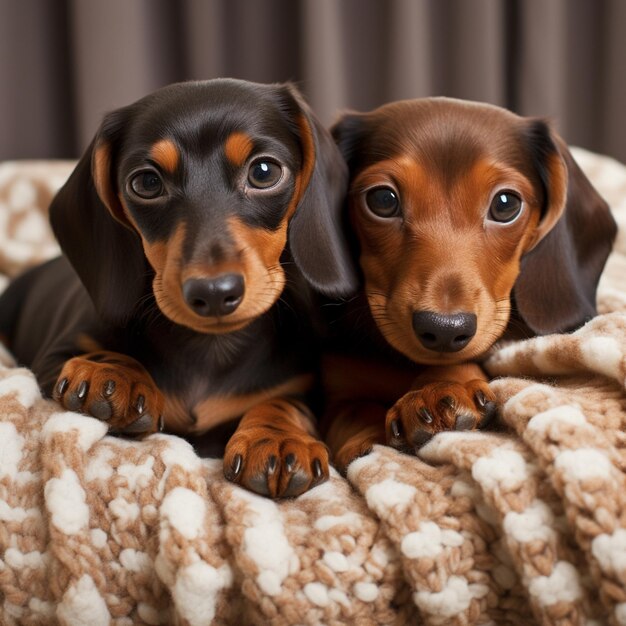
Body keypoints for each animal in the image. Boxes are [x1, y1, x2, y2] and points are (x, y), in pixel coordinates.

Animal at [0, 79, 356, 498]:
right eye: (147, 182)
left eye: (264, 171)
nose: (214, 292)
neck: (208, 349)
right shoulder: (49, 357)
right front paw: (110, 371)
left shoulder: (300, 385)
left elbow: (285, 403)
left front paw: (277, 438)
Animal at [322, 96, 616, 468]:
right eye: (382, 200)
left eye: (506, 204)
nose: (444, 329)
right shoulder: (336, 387)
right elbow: (349, 409)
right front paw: (366, 440)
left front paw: (441, 389)